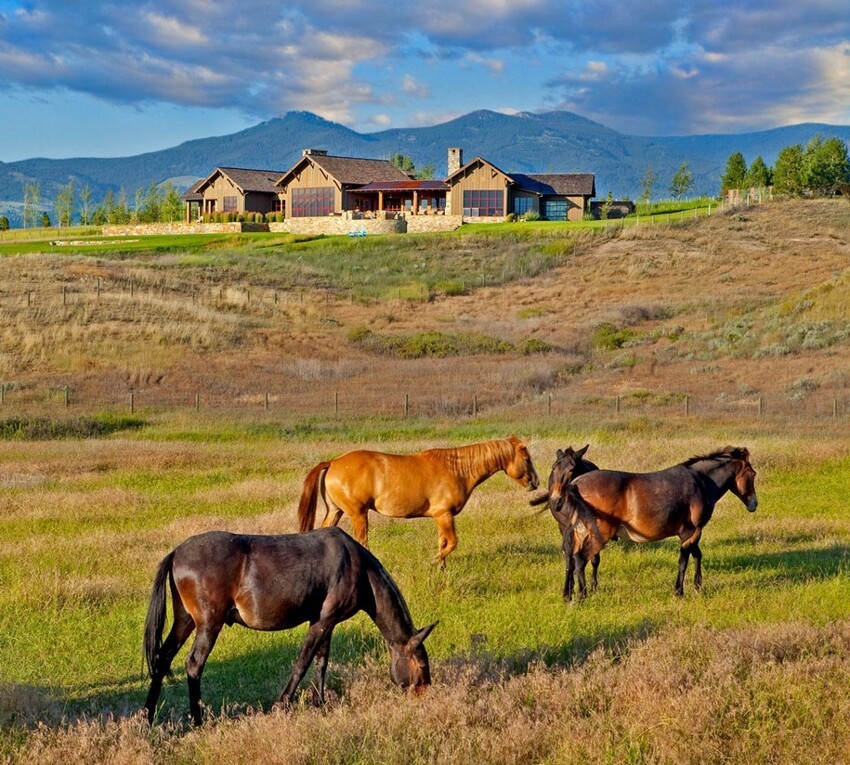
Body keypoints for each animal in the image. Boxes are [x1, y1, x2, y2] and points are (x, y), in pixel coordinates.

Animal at [142, 524, 434, 724]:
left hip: (185, 621)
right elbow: (303, 662)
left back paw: (147, 716)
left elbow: (321, 661)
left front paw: (319, 702)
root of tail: (175, 553)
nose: (425, 695)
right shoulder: (323, 621)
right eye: (421, 666)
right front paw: (282, 705)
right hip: (208, 624)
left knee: (163, 658)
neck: (358, 567)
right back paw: (198, 720)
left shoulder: (325, 621)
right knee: (194, 664)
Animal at [298, 436, 536, 568]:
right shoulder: (444, 514)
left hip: (335, 511)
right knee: (362, 542)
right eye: (527, 459)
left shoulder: (441, 517)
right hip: (358, 514)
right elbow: (452, 543)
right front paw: (432, 563)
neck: (457, 470)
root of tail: (333, 462)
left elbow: (443, 543)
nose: (535, 482)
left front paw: (441, 569)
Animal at [556, 444, 756, 600]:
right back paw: (582, 596)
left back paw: (568, 595)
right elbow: (684, 561)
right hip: (598, 533)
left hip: (580, 531)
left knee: (571, 558)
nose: (754, 504)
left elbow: (697, 555)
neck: (700, 481)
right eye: (752, 474)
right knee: (580, 559)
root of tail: (575, 484)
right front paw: (679, 592)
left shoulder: (689, 533)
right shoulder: (692, 531)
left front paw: (698, 585)